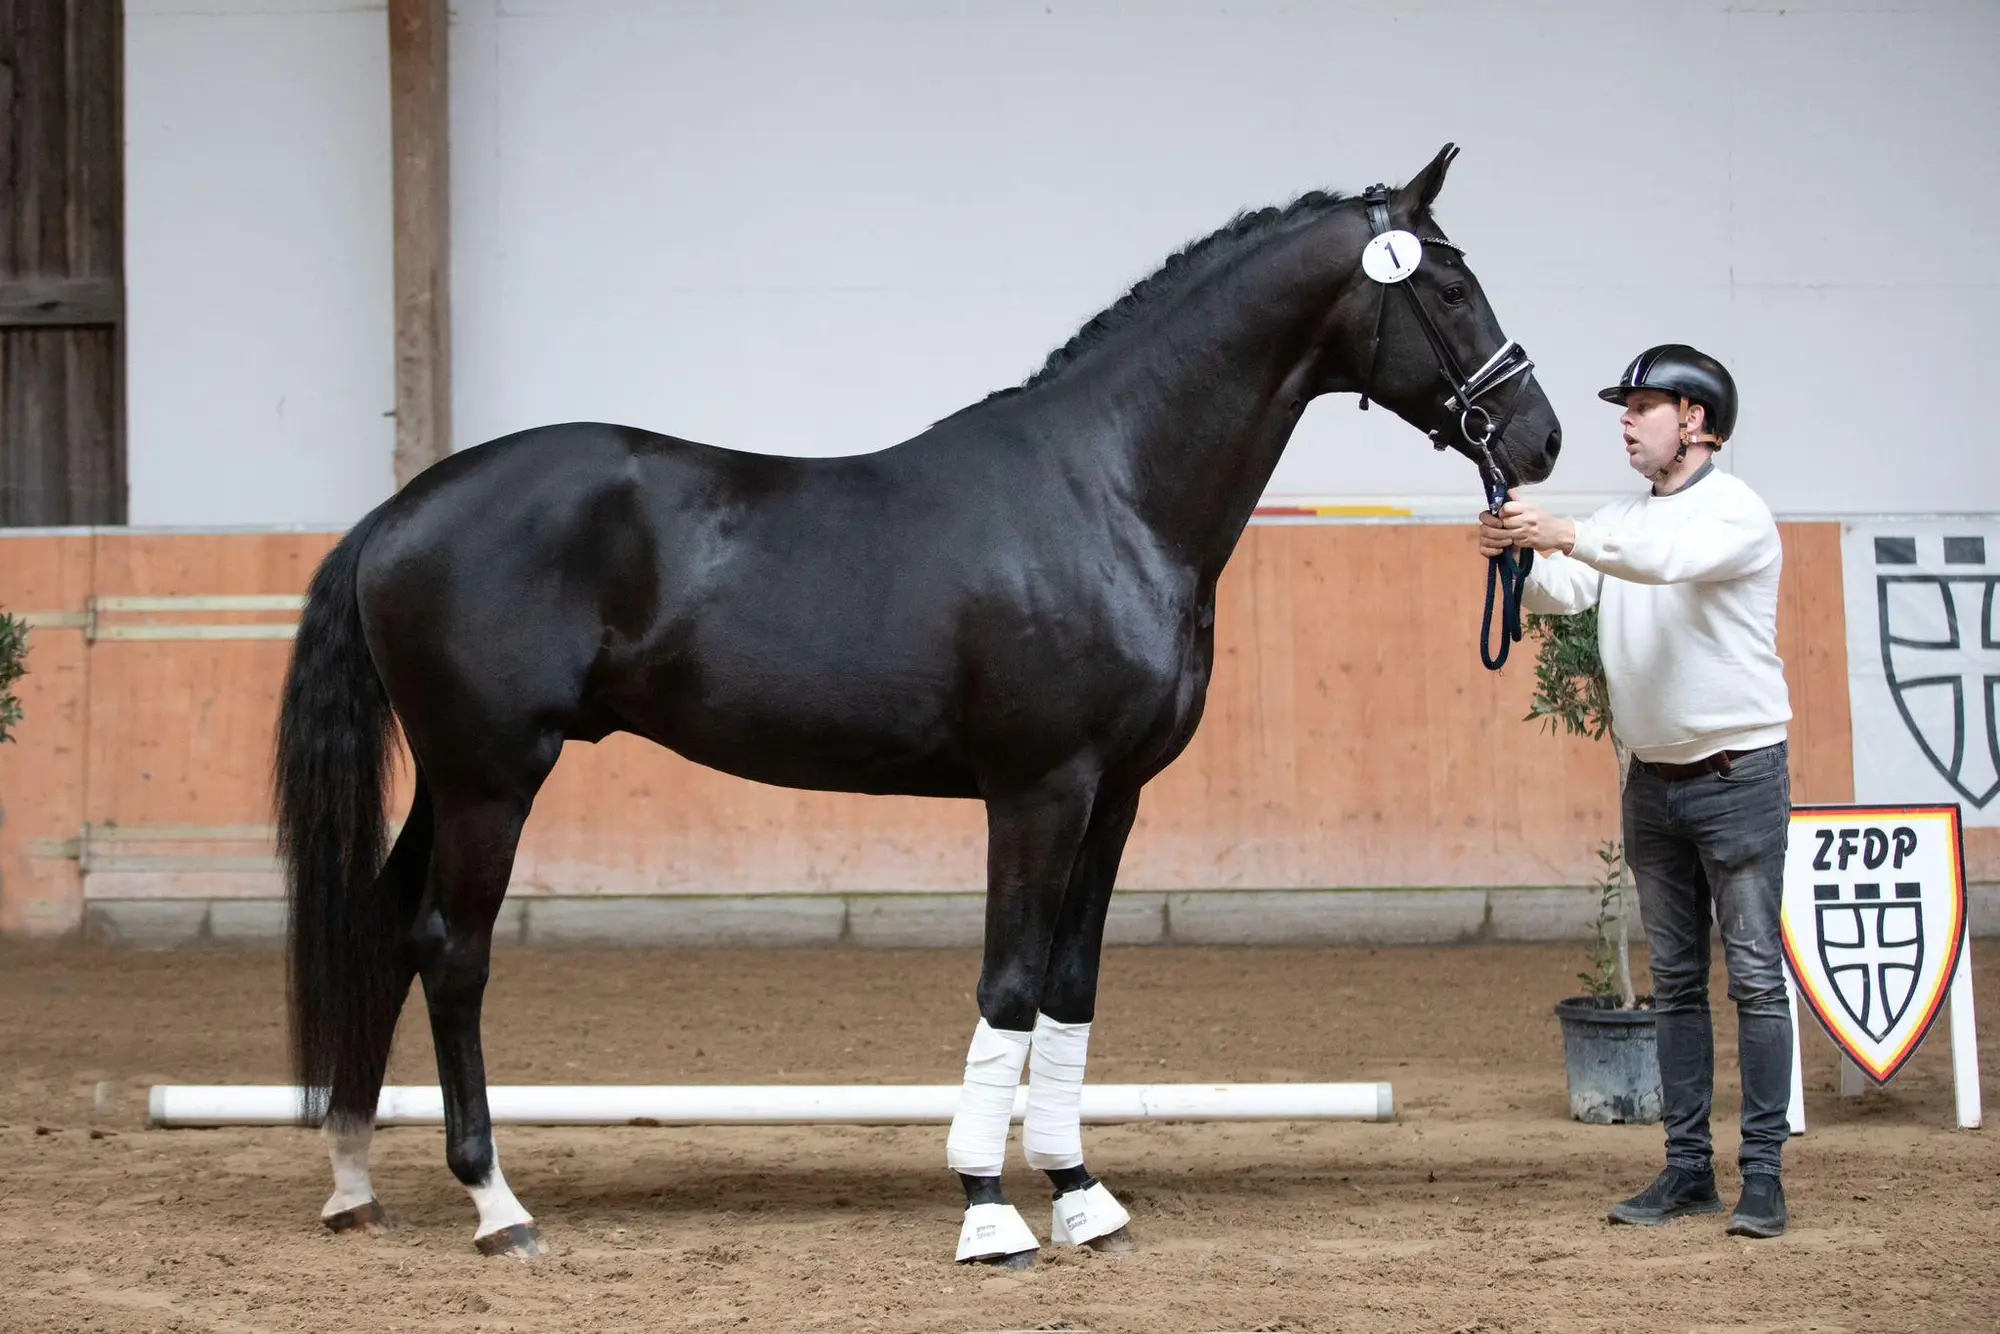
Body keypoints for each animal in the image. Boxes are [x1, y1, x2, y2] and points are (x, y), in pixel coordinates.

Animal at [273, 141, 1561, 1266]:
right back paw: (496, 1203)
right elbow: (1007, 984)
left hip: (452, 779)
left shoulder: (1115, 796)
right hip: (493, 776)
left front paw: (1079, 1191)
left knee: (384, 928)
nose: (1539, 436)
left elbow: (1070, 986)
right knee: (452, 950)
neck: (1105, 491)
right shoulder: (1037, 790)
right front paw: (988, 1208)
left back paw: (353, 1181)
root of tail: (395, 514)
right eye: (1449, 283)